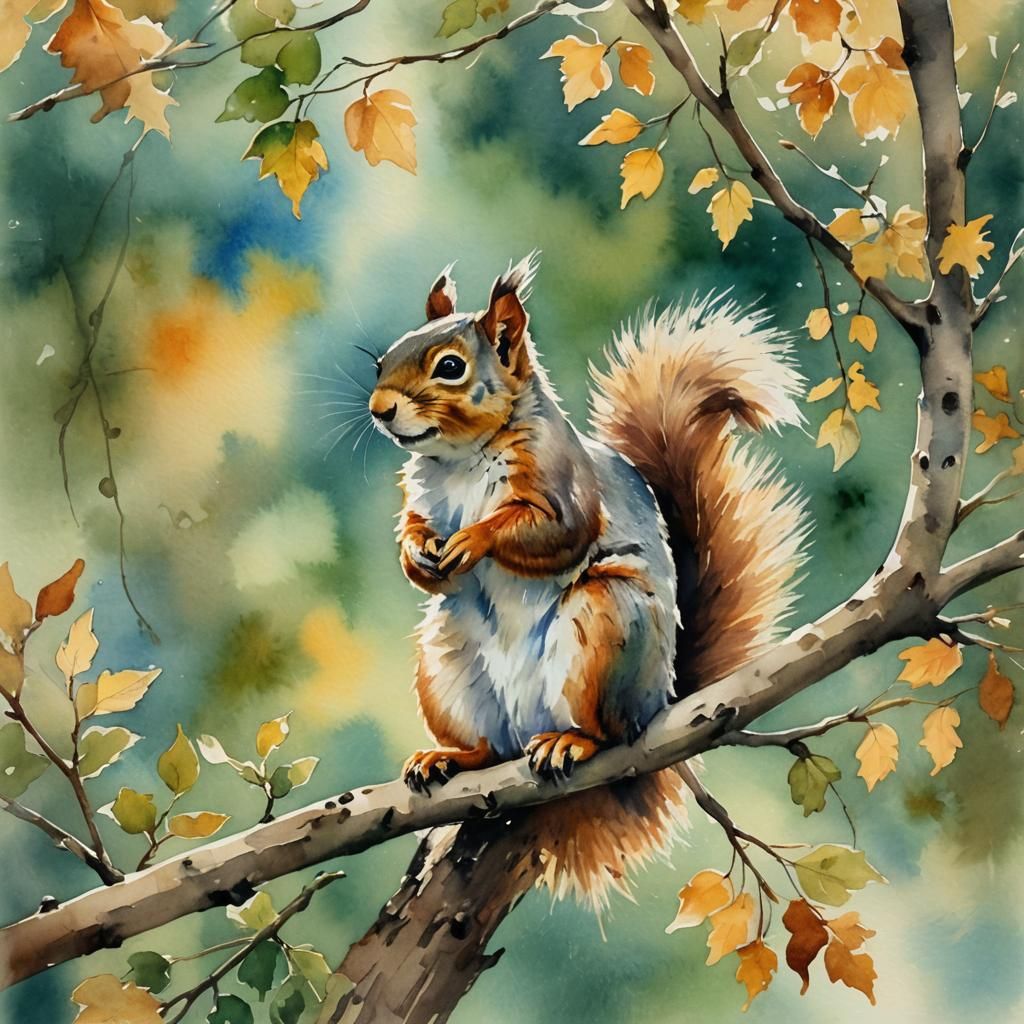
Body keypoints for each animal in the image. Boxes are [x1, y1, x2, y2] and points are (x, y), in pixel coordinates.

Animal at [367, 254, 807, 909]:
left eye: (450, 367)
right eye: (381, 361)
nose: (379, 408)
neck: (462, 458)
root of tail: (661, 697)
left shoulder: (562, 484)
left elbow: (553, 533)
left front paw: (475, 540)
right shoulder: (422, 496)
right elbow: (416, 530)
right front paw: (418, 554)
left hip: (603, 627)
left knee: (607, 731)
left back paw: (570, 743)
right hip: (448, 663)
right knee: (489, 747)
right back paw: (449, 756)